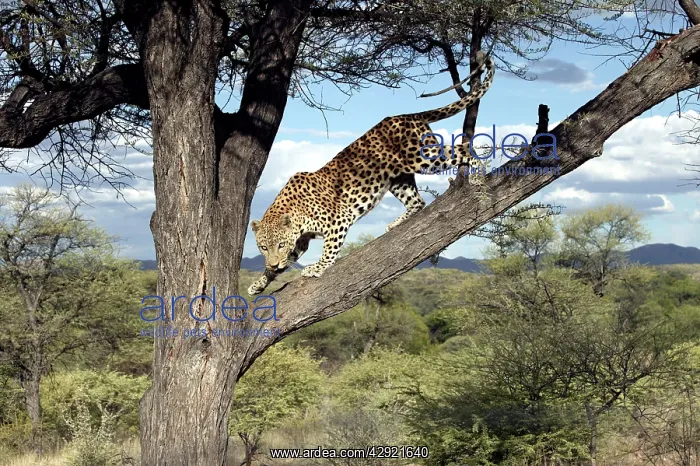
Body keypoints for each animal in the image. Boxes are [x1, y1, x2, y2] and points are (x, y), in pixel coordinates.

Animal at [247, 52, 495, 295]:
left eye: (280, 244)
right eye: (263, 247)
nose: (272, 262)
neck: (296, 213)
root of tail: (407, 116)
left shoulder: (339, 220)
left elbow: (329, 249)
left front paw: (317, 267)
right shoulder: (301, 240)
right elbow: (285, 262)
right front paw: (260, 282)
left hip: (424, 157)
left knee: (465, 150)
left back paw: (478, 175)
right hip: (399, 179)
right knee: (418, 201)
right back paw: (396, 224)